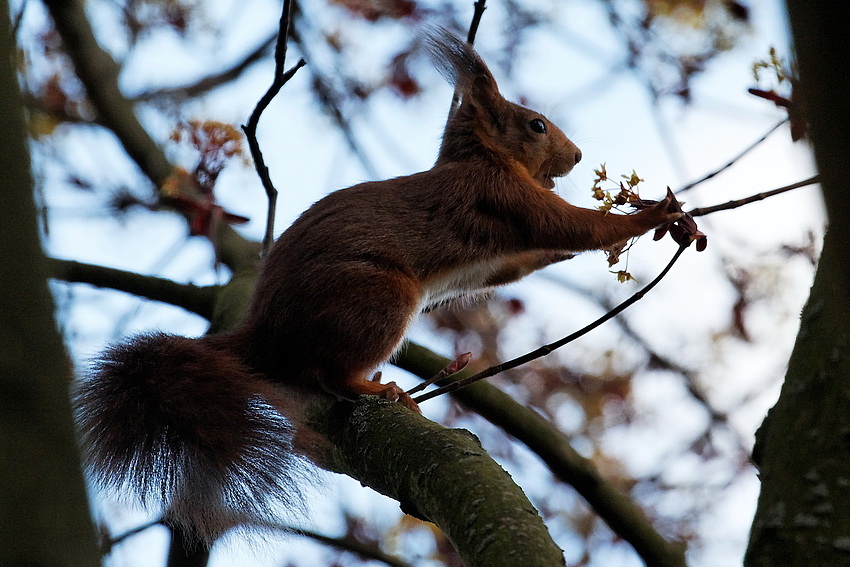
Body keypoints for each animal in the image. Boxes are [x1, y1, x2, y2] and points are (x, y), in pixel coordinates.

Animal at [73, 28, 684, 544]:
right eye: (536, 125)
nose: (577, 156)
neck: (480, 157)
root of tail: (263, 334)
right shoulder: (498, 193)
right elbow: (572, 225)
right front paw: (654, 214)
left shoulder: (494, 256)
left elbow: (516, 265)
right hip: (379, 297)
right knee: (328, 373)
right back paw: (377, 388)